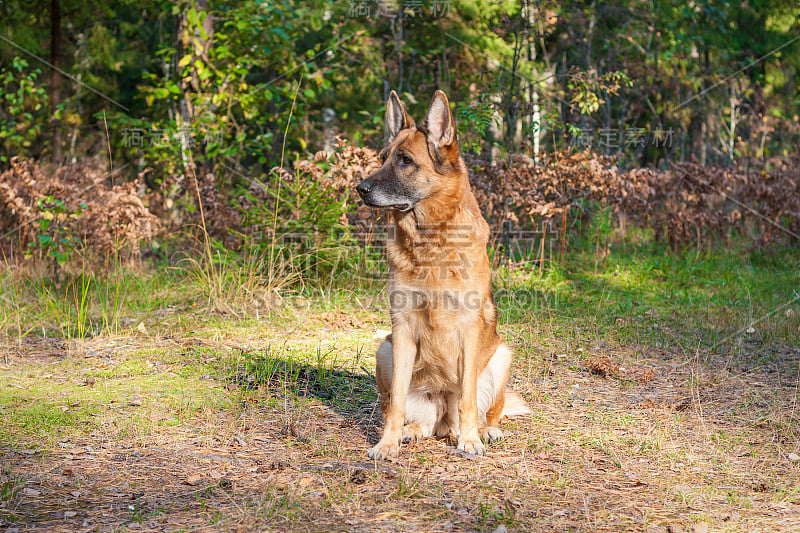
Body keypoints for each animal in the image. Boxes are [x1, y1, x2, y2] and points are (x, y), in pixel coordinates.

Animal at [358, 90, 532, 458]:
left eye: (405, 161)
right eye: (383, 158)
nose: (360, 189)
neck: (431, 243)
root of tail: (441, 416)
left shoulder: (468, 329)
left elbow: (467, 398)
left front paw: (469, 440)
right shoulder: (402, 329)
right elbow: (396, 403)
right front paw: (387, 443)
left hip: (501, 357)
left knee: (483, 410)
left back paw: (483, 431)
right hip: (385, 350)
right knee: (417, 419)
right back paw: (410, 432)